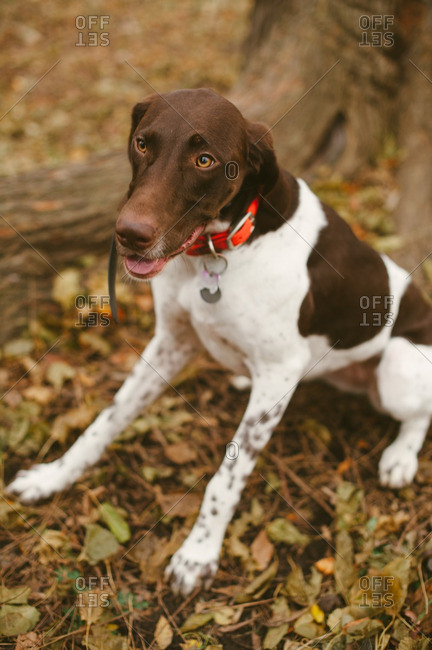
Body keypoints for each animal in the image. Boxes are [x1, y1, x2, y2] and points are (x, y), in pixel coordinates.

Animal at [7, 90, 432, 592]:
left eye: (205, 160)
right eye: (142, 143)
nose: (128, 235)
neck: (218, 251)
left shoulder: (280, 370)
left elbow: (225, 478)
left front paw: (198, 553)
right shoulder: (171, 342)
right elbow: (106, 420)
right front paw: (53, 477)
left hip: (397, 369)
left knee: (419, 414)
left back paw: (400, 457)